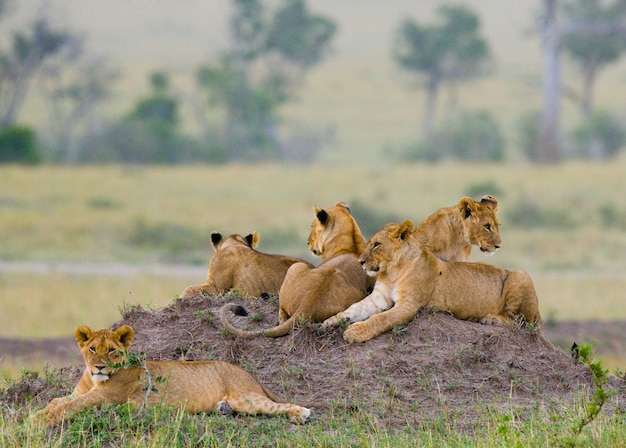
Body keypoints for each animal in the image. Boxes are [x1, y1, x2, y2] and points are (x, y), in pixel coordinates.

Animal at [31, 324, 310, 426]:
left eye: (111, 350)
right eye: (92, 349)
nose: (99, 366)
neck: (94, 379)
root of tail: (249, 374)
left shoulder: (104, 397)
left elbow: (69, 406)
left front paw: (42, 419)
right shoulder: (79, 392)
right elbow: (58, 400)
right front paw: (37, 413)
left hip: (247, 398)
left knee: (276, 406)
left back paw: (301, 414)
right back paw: (222, 409)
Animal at [219, 201, 368, 338]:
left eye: (312, 226)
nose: (307, 242)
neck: (351, 242)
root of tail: (307, 304)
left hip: (296, 266)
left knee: (281, 312)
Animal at [322, 220, 552, 350]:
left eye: (377, 244)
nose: (360, 262)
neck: (392, 271)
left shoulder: (409, 304)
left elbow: (381, 319)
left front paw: (355, 332)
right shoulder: (379, 297)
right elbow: (353, 308)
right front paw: (331, 321)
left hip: (521, 276)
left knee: (520, 321)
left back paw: (491, 318)